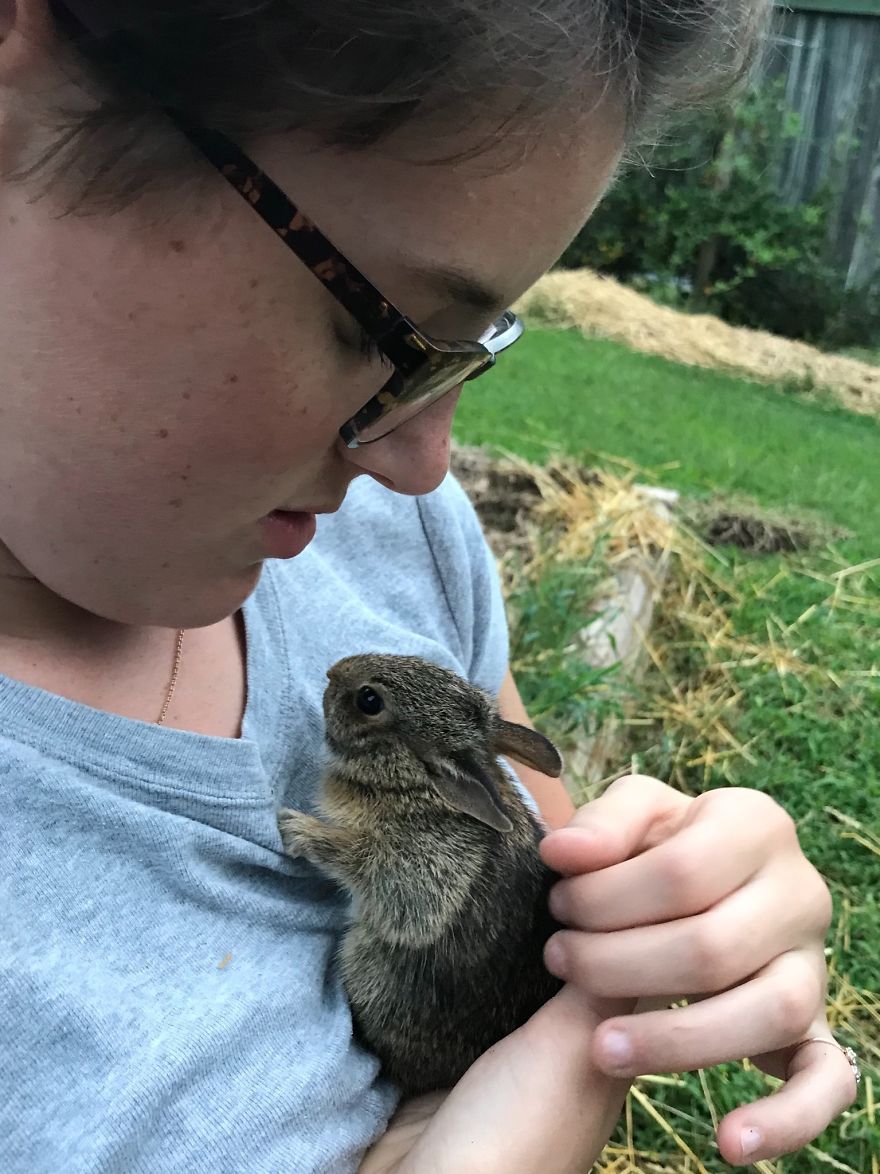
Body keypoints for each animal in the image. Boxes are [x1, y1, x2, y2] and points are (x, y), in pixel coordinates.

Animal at [277, 652, 566, 1096]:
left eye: (369, 700)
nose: (333, 670)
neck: (414, 782)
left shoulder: (419, 864)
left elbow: (362, 863)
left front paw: (297, 829)